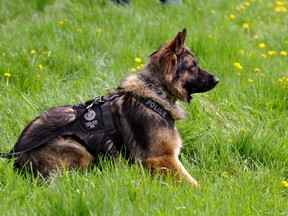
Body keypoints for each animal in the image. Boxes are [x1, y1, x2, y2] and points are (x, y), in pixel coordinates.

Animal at [1, 29, 218, 187]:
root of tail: (16, 154)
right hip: (77, 148)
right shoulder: (162, 158)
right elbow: (193, 183)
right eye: (193, 65)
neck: (155, 94)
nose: (217, 79)